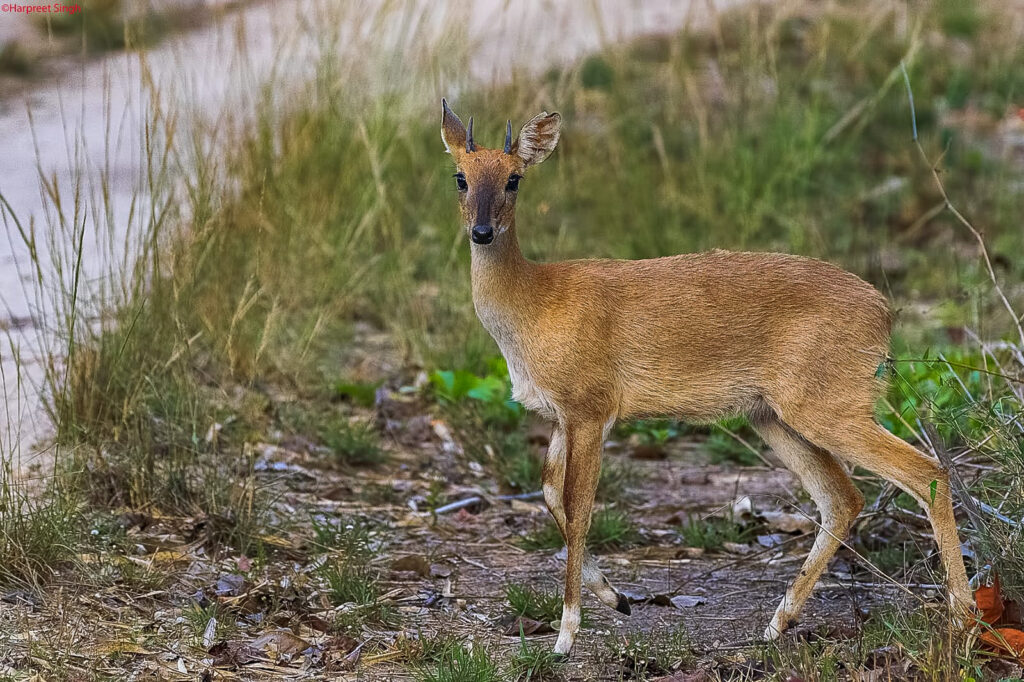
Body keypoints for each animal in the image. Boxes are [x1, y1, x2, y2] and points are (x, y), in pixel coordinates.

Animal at [438, 98, 966, 651]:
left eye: (514, 179)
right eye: (460, 177)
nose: (481, 232)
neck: (533, 305)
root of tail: (886, 313)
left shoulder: (590, 405)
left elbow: (578, 509)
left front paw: (567, 634)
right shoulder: (563, 415)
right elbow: (549, 496)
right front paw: (617, 598)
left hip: (829, 401)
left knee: (925, 470)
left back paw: (964, 618)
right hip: (773, 414)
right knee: (843, 497)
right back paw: (777, 623)